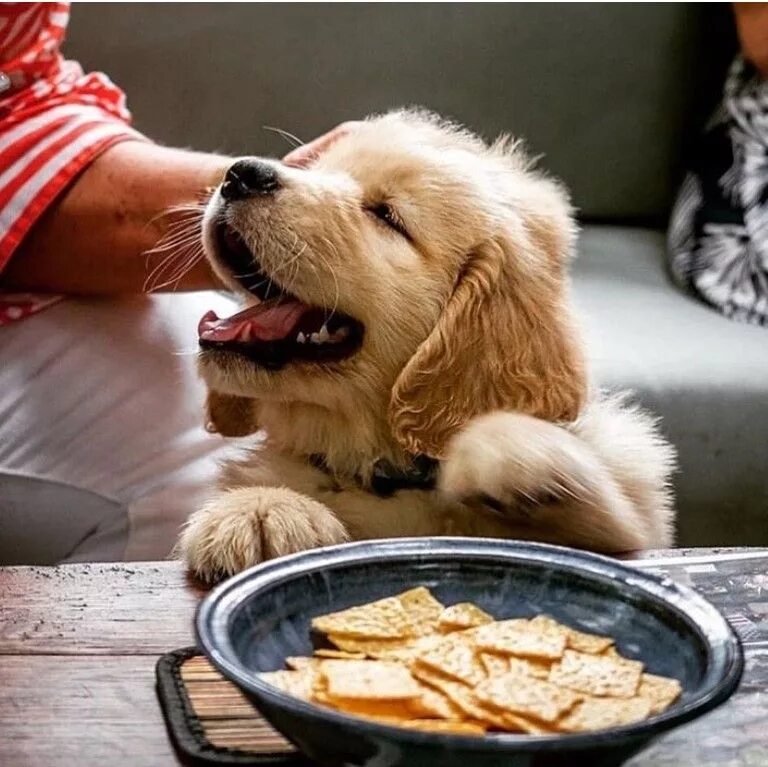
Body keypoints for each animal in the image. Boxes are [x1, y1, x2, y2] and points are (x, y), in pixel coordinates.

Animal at [177, 109, 676, 584]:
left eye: (386, 215)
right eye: (318, 170)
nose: (242, 173)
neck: (386, 473)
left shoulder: (632, 522)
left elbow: (605, 522)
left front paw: (516, 448)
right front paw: (262, 507)